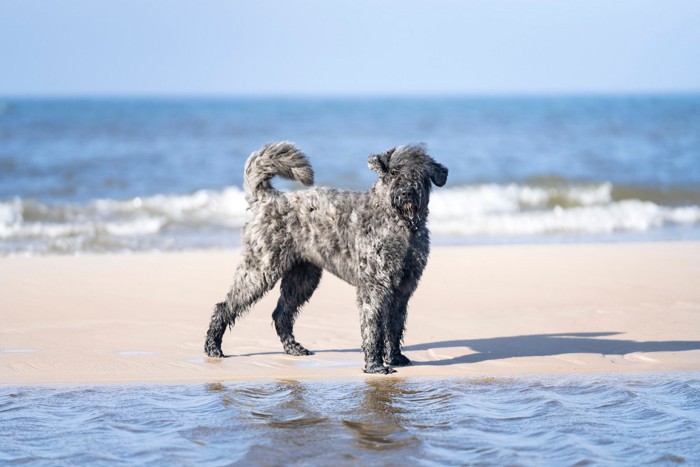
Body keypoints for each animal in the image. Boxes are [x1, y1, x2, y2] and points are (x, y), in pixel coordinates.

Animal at [205, 141, 452, 374]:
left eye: (419, 173)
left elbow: (394, 326)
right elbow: (373, 328)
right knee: (225, 306)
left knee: (282, 314)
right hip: (260, 270)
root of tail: (267, 199)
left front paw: (395, 358)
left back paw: (294, 348)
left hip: (302, 278)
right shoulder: (374, 287)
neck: (400, 225)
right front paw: (375, 365)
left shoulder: (403, 289)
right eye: (393, 172)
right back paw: (213, 347)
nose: (405, 193)